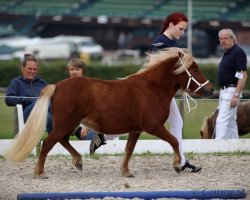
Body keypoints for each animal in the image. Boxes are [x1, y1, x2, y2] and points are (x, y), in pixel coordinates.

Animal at [3, 47, 213, 178]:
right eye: (195, 69)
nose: (210, 90)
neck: (151, 88)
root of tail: (57, 86)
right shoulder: (153, 127)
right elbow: (175, 141)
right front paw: (177, 165)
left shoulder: (135, 130)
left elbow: (129, 150)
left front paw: (126, 171)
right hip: (65, 123)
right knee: (48, 143)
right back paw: (40, 173)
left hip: (68, 124)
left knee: (62, 141)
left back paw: (78, 162)